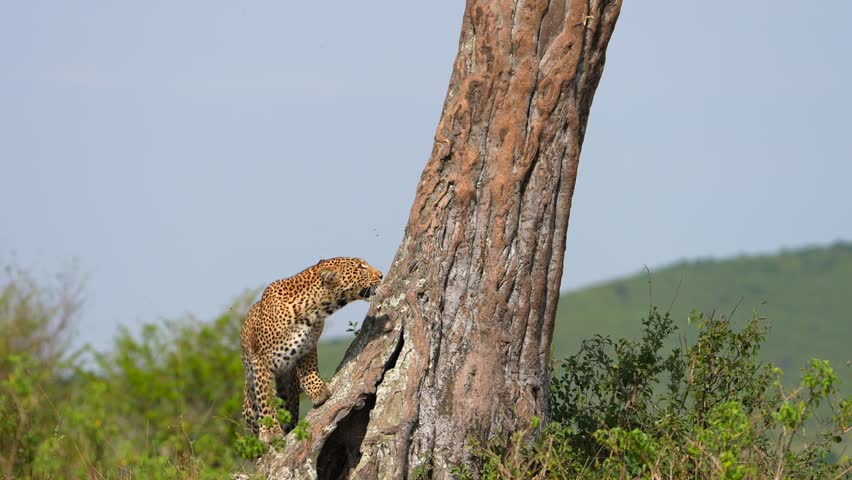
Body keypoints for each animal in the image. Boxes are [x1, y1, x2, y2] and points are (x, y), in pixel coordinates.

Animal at [240, 257, 383, 443]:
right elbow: (265, 396)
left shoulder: (308, 347)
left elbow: (310, 370)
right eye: (361, 267)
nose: (381, 275)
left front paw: (318, 392)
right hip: (249, 406)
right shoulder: (261, 360)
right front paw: (270, 431)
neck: (313, 311)